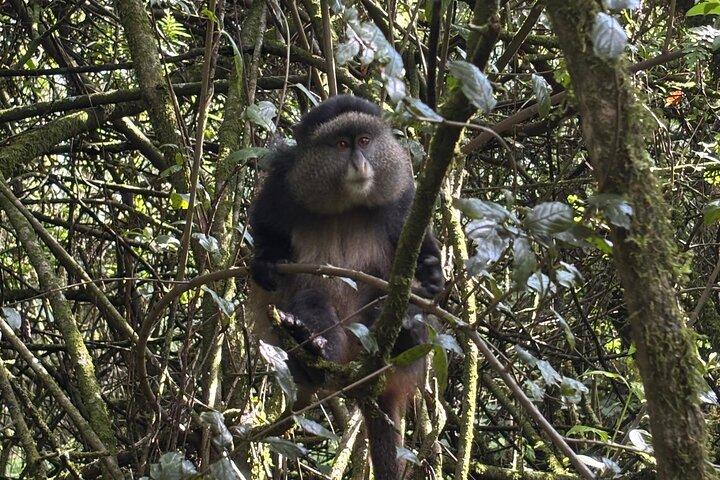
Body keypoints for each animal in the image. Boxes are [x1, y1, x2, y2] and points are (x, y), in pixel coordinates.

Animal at [247, 94, 444, 479]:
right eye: (341, 144)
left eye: (364, 141)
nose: (359, 162)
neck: (346, 204)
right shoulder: (281, 184)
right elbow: (265, 233)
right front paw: (264, 263)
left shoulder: (405, 198)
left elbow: (421, 258)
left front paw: (431, 275)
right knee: (310, 301)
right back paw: (311, 346)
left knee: (389, 302)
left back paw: (404, 334)